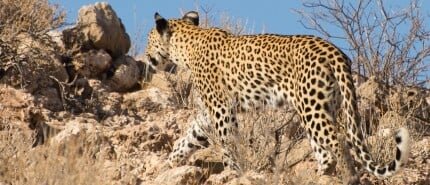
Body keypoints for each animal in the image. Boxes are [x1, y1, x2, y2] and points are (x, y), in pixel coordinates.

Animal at [144, 11, 410, 184]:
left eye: (148, 40)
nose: (146, 56)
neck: (187, 46)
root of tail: (334, 51)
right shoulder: (209, 112)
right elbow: (189, 136)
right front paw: (171, 161)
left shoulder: (221, 110)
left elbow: (228, 144)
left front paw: (233, 172)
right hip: (321, 107)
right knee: (325, 151)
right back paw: (317, 177)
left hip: (312, 108)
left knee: (339, 141)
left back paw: (349, 178)